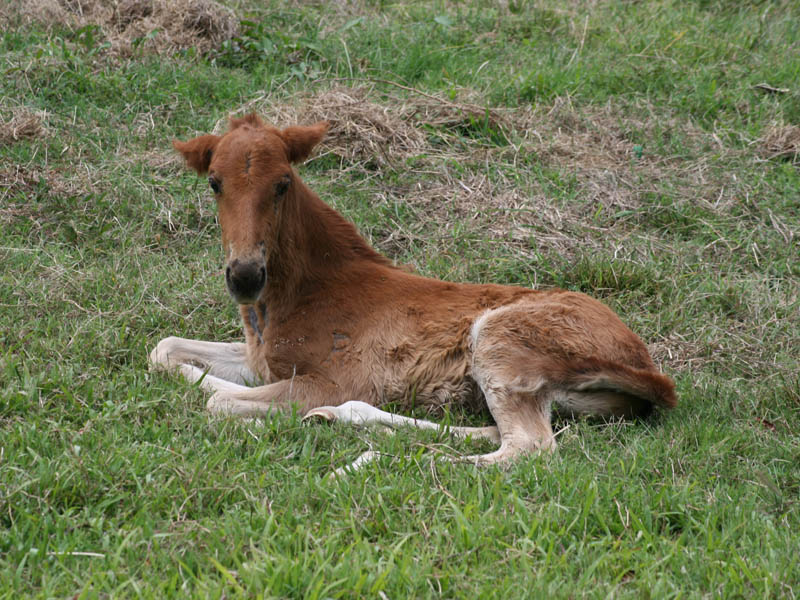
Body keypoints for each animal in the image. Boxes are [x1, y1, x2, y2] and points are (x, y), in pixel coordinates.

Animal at [150, 115, 676, 466]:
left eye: (282, 183)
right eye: (214, 182)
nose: (245, 275)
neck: (297, 297)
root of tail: (648, 368)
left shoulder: (336, 377)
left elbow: (218, 401)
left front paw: (253, 413)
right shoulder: (262, 359)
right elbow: (165, 350)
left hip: (498, 338)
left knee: (529, 447)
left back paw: (378, 459)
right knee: (498, 432)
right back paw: (337, 421)